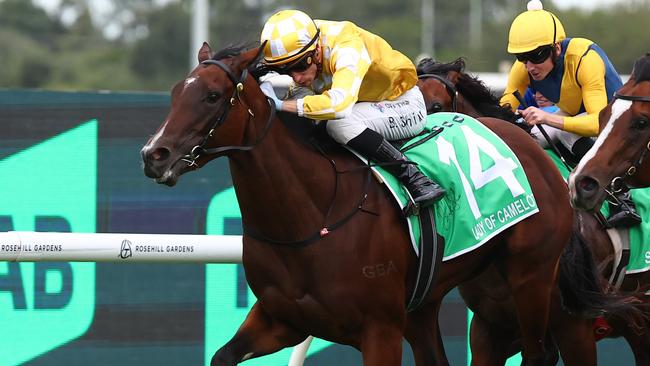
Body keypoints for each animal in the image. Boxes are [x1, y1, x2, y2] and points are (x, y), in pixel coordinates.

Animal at [140, 43, 596, 366]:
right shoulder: (281, 319)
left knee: (541, 351)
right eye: (176, 93)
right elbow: (222, 355)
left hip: (531, 275)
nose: (153, 154)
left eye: (212, 96)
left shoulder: (379, 330)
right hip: (427, 306)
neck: (313, 215)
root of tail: (531, 146)